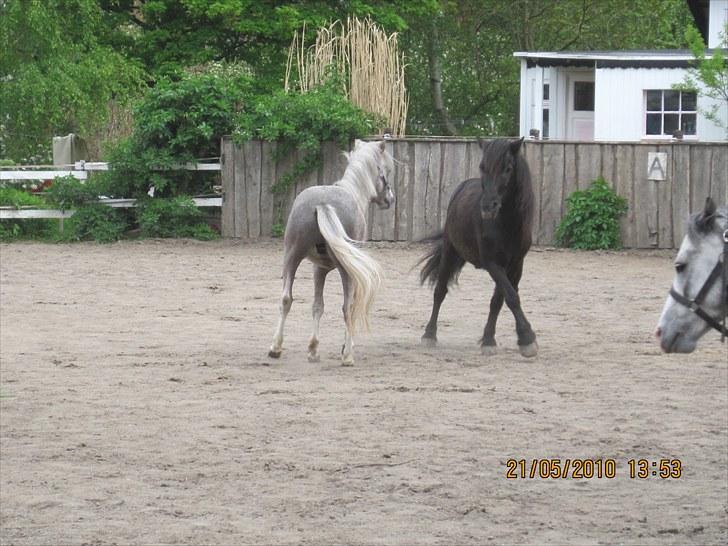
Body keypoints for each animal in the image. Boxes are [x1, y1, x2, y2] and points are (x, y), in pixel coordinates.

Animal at [418, 137, 536, 356]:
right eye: (482, 167)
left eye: (508, 168)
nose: (488, 206)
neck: (507, 225)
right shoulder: (492, 263)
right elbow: (512, 297)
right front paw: (527, 338)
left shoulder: (515, 265)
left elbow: (500, 299)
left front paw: (489, 339)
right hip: (449, 252)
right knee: (440, 291)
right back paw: (429, 334)